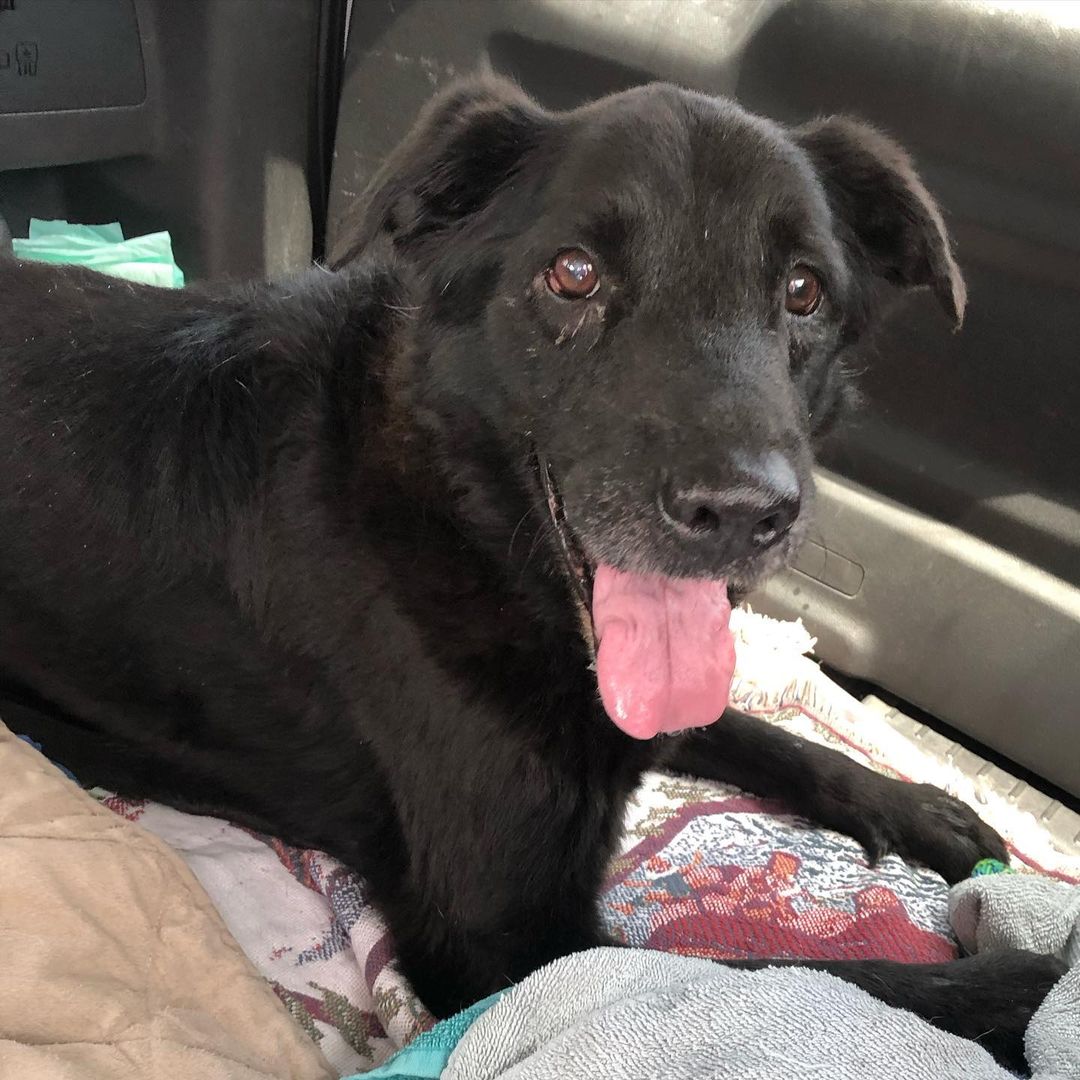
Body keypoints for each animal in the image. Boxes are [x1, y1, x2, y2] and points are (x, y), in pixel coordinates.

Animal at [0, 78, 1062, 1071]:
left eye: (803, 292)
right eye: (574, 274)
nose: (744, 513)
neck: (459, 513)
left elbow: (749, 727)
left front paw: (908, 802)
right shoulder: (510, 943)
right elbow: (815, 981)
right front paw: (1032, 985)